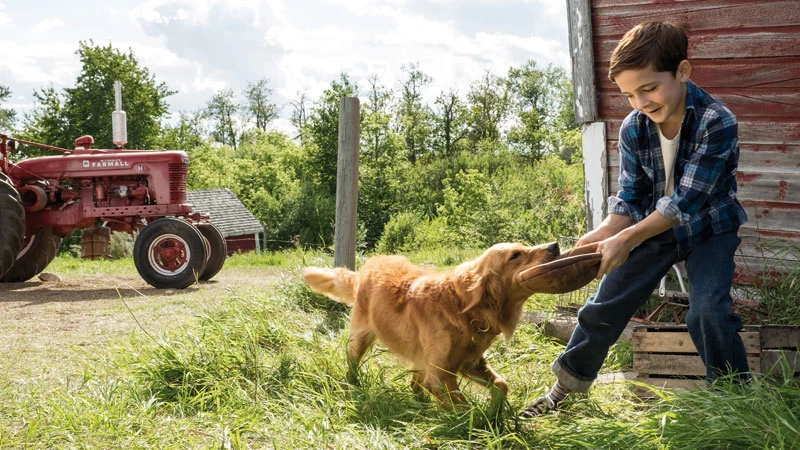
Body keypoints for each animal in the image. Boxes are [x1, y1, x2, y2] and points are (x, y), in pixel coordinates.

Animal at [304, 243, 596, 408]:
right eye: (516, 255)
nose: (555, 245)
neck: (465, 311)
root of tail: (368, 266)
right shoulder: (441, 374)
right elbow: (465, 407)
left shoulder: (469, 362)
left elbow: (501, 385)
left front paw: (497, 413)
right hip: (360, 338)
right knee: (353, 362)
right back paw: (353, 384)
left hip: (421, 357)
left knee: (415, 383)